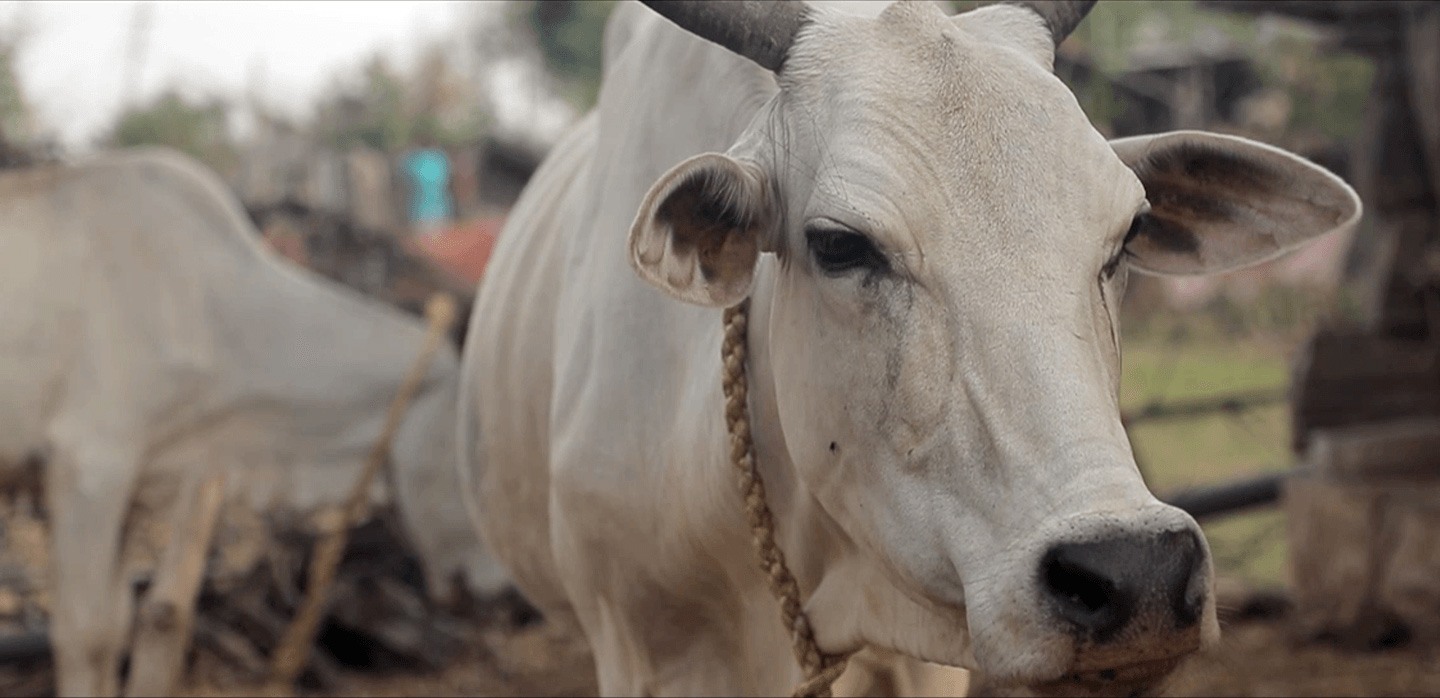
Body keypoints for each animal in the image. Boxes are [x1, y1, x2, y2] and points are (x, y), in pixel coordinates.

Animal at [0, 147, 508, 696]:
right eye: (478, 456)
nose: (505, 596)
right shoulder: (89, 466)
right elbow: (85, 635)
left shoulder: (136, 480)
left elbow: (116, 628)